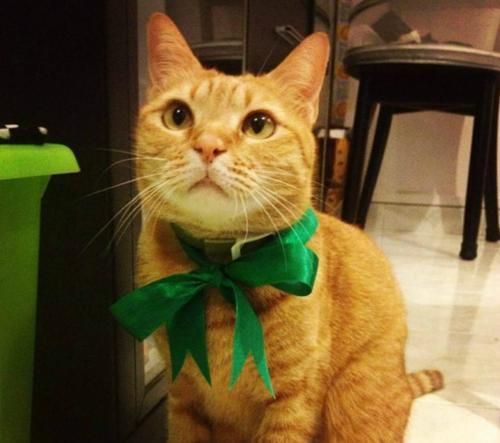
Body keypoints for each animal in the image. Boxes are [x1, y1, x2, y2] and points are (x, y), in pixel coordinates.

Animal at [133, 12, 443, 443]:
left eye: (258, 125)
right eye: (178, 116)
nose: (208, 145)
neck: (221, 270)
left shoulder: (293, 401)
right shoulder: (182, 395)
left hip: (353, 397)